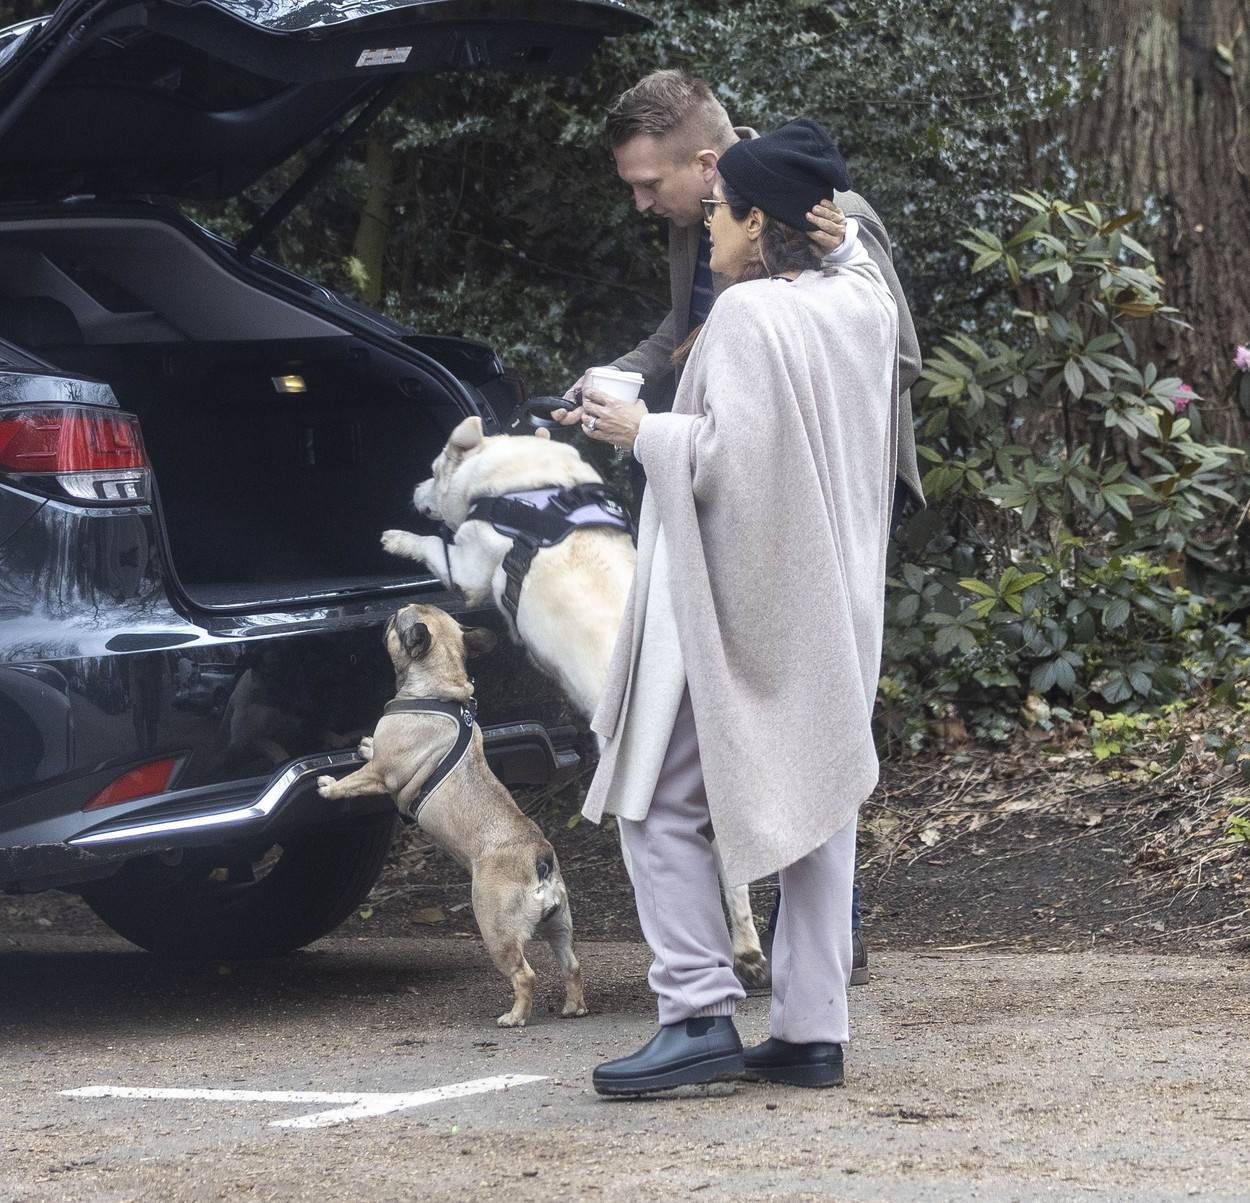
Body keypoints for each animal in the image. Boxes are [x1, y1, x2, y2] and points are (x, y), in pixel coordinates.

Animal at [316, 603, 588, 1028]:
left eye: (397, 622)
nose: (389, 613)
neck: (439, 686)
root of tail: (540, 860)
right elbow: (372, 751)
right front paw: (365, 744)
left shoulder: (381, 774)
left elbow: (355, 780)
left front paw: (329, 786)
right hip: (559, 925)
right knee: (571, 965)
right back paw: (573, 1006)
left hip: (496, 927)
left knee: (524, 974)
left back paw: (515, 1017)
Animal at [380, 416, 769, 987]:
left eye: (433, 468)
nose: (411, 490)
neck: (528, 483)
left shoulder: (466, 567)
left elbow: (434, 546)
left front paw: (397, 538)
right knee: (735, 882)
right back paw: (746, 952)